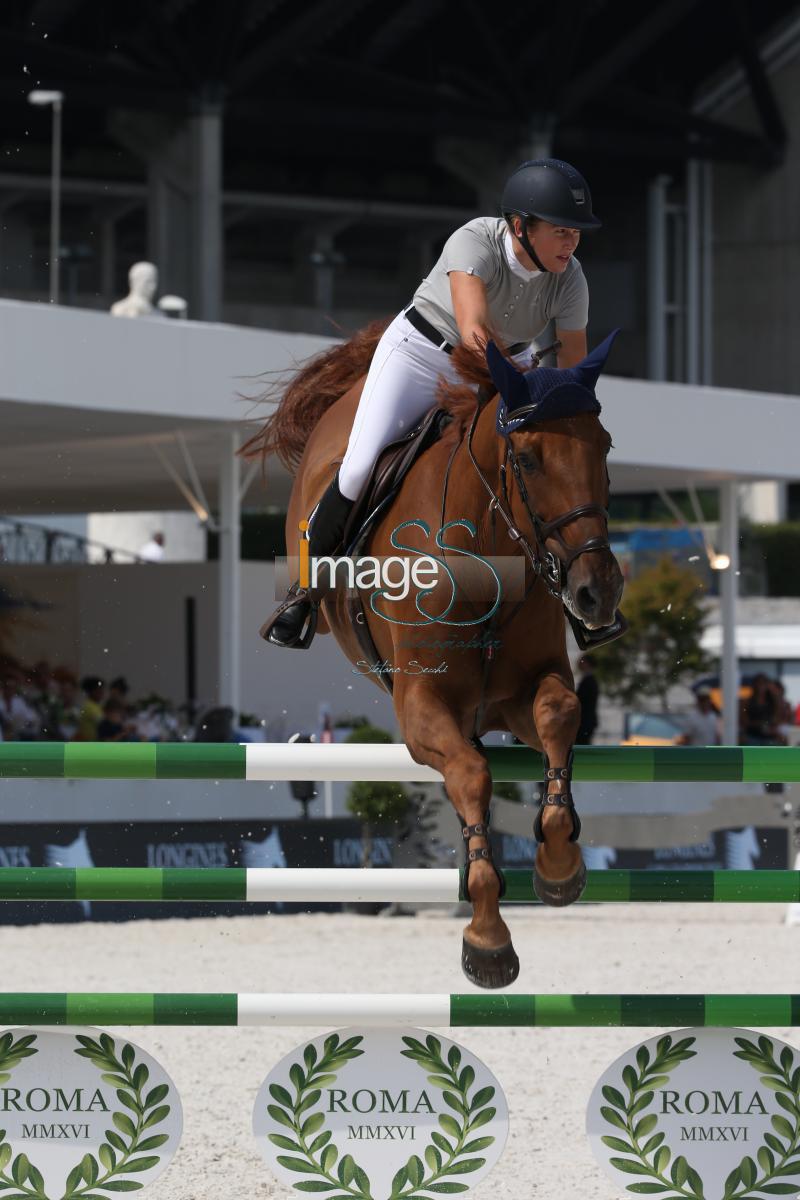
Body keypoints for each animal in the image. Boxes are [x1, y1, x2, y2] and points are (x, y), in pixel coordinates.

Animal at [245, 324, 623, 988]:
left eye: (602, 448)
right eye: (527, 457)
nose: (596, 592)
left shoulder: (521, 694)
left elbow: (558, 715)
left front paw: (558, 866)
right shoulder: (422, 707)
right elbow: (472, 775)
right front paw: (488, 939)